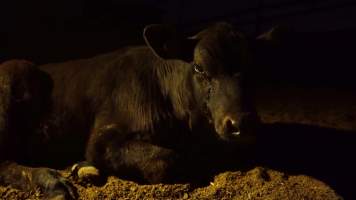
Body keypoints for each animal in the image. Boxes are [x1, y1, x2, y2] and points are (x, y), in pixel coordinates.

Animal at [0, 22, 270, 199]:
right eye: (199, 67)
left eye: (255, 67)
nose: (240, 123)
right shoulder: (104, 137)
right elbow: (168, 160)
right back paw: (53, 183)